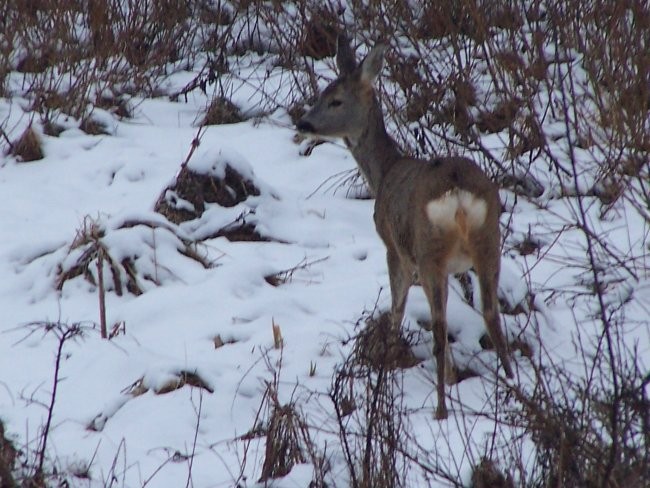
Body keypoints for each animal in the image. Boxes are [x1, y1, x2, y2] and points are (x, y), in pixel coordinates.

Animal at [296, 38, 512, 420]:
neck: (384, 172)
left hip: (428, 250)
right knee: (491, 315)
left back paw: (441, 409)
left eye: (335, 100)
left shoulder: (394, 248)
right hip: (489, 241)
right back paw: (519, 394)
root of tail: (457, 193)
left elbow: (397, 309)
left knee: (440, 328)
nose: (303, 122)